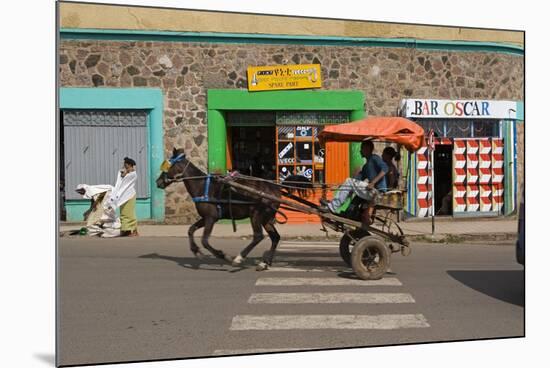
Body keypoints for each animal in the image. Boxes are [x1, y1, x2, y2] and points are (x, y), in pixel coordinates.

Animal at [155, 148, 312, 272]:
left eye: (167, 165)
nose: (158, 182)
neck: (202, 185)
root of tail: (275, 187)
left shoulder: (211, 218)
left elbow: (205, 241)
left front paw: (223, 256)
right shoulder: (205, 217)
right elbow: (190, 230)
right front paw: (196, 251)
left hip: (256, 215)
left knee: (258, 236)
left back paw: (239, 258)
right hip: (266, 218)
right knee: (275, 237)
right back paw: (264, 263)